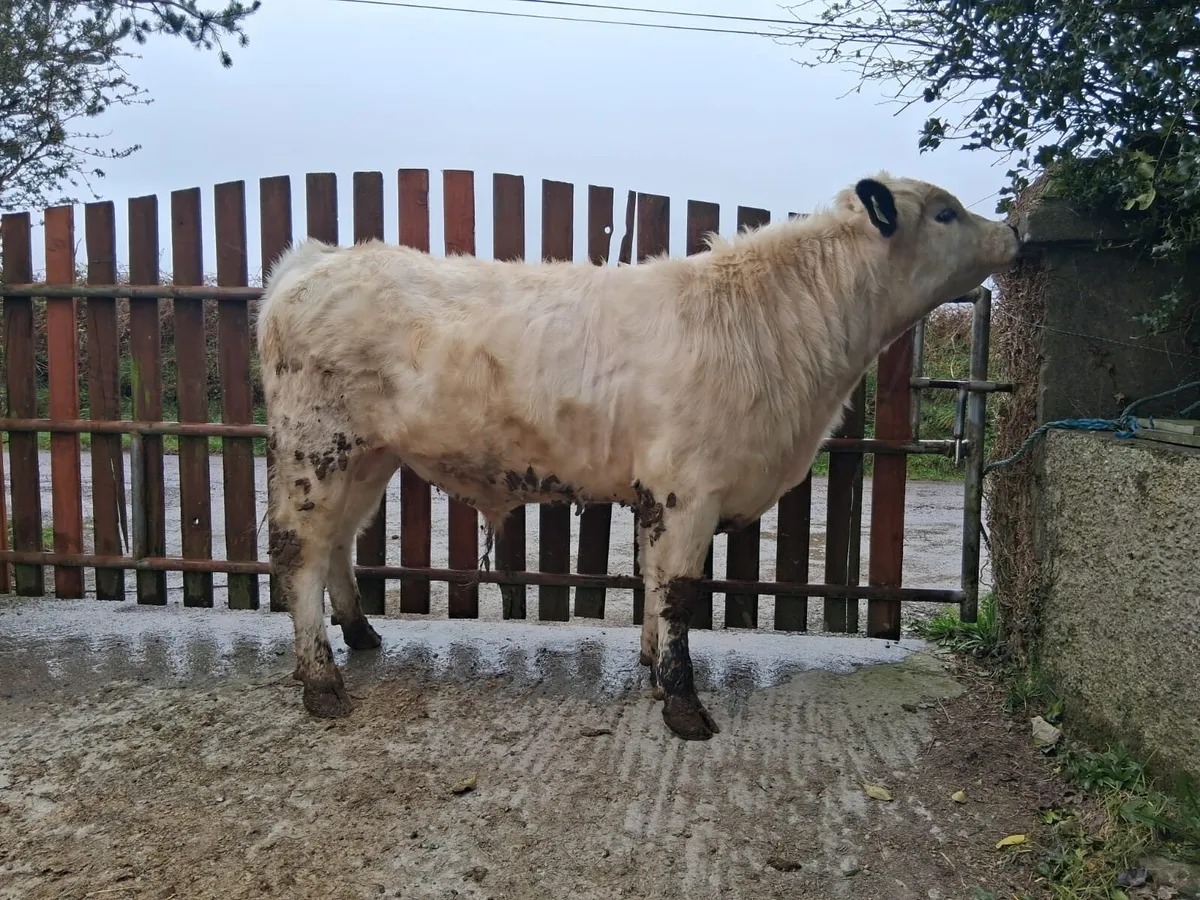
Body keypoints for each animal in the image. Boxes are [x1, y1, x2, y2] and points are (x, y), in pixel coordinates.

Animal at [256, 172, 1022, 741]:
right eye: (946, 212)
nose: (1014, 229)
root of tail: (318, 258)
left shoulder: (664, 494)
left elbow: (654, 586)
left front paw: (654, 671)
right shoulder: (689, 489)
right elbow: (680, 591)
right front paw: (684, 706)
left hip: (368, 457)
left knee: (339, 542)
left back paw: (361, 634)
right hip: (315, 448)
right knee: (299, 549)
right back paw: (322, 683)